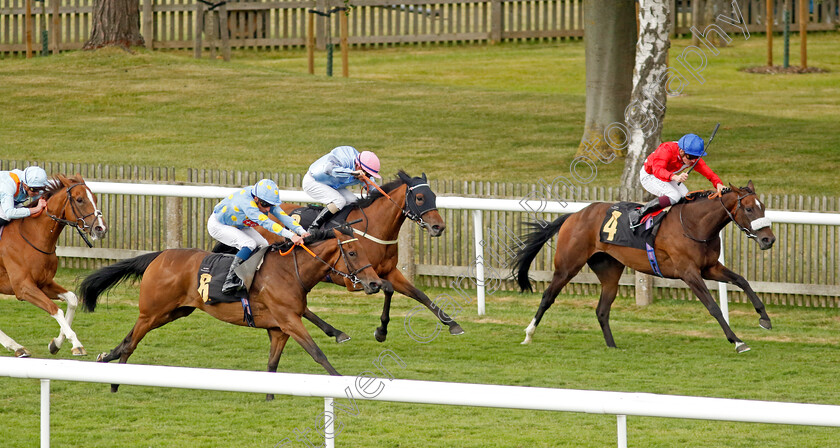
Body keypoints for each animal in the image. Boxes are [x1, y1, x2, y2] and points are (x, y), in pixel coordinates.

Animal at [0, 174, 108, 356]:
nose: (101, 228)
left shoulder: (44, 283)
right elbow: (55, 309)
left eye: (94, 198)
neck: (33, 237)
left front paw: (56, 343)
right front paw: (76, 343)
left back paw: (16, 347)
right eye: (79, 199)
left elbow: (72, 299)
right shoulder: (23, 287)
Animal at [79, 226, 380, 394]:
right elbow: (318, 353)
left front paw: (270, 396)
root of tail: (159, 255)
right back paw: (115, 382)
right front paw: (340, 381)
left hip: (174, 311)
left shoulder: (279, 326)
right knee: (131, 343)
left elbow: (273, 364)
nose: (375, 283)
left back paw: (106, 359)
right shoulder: (288, 320)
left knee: (128, 339)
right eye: (352, 254)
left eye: (365, 252)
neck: (288, 271)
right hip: (153, 311)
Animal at [516, 182, 776, 354]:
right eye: (749, 209)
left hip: (609, 270)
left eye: (763, 207)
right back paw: (528, 334)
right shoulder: (688, 273)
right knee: (548, 296)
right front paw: (737, 341)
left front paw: (764, 318)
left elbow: (742, 280)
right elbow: (713, 307)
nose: (768, 240)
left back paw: (612, 346)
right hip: (568, 265)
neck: (694, 224)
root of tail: (574, 214)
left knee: (602, 310)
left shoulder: (709, 267)